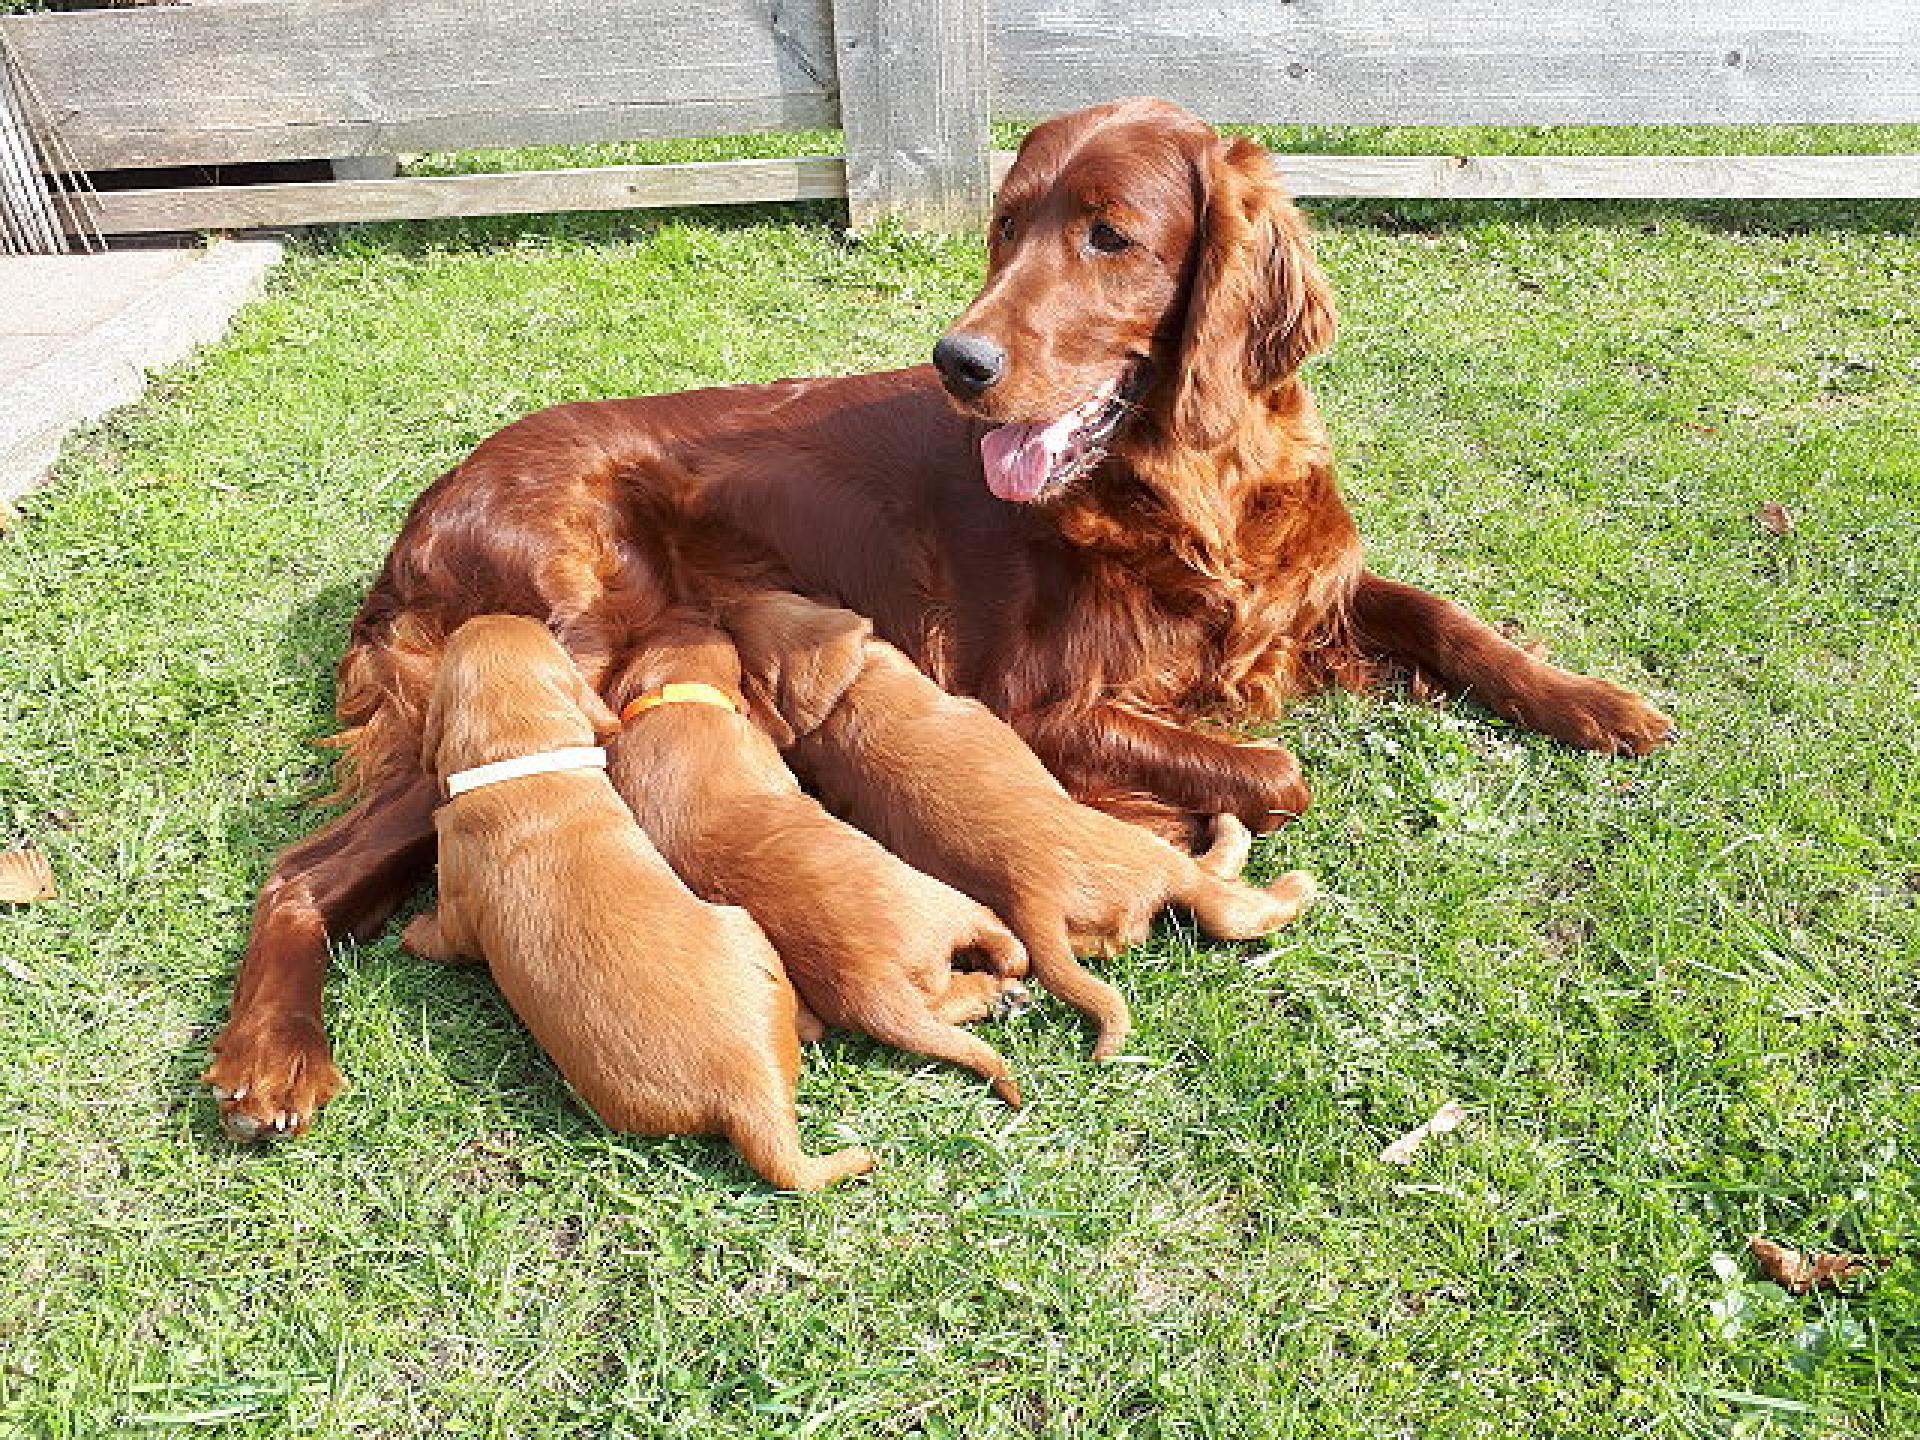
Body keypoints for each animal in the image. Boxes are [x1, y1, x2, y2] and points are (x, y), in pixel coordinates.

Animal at [610, 610, 1036, 1105]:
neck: (665, 701)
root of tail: (874, 989)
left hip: (922, 989)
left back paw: (1000, 997)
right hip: (948, 904)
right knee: (1000, 938)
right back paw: (1008, 984)